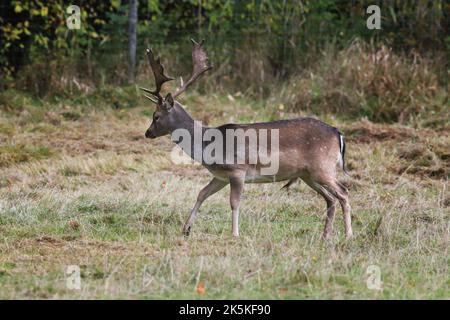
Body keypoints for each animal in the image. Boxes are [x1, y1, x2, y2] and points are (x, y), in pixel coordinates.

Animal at [140, 38, 352, 240]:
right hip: (307, 174)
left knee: (343, 192)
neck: (208, 145)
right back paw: (325, 236)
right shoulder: (221, 175)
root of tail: (338, 133)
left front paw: (234, 233)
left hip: (322, 167)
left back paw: (348, 235)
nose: (147, 133)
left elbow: (234, 202)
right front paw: (186, 229)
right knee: (330, 198)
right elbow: (202, 193)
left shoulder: (237, 169)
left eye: (155, 116)